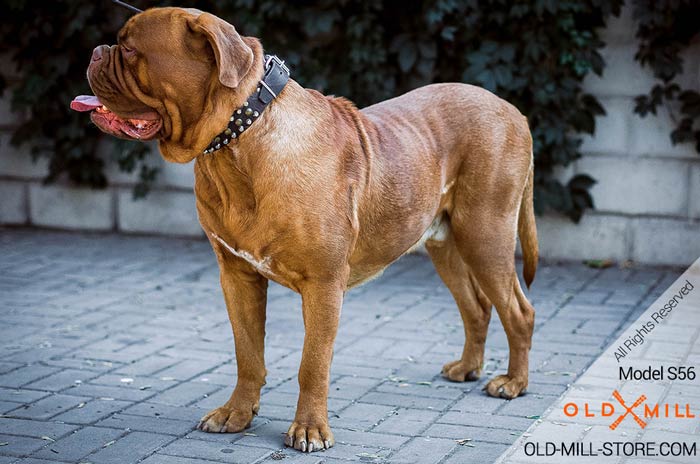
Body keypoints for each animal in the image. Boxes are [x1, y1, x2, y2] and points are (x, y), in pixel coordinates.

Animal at [72, 5, 536, 452]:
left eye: (130, 49)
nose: (95, 51)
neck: (236, 143)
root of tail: (513, 110)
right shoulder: (237, 276)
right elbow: (247, 353)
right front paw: (235, 414)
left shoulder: (324, 284)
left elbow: (312, 364)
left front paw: (310, 430)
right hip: (445, 243)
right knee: (476, 307)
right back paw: (467, 368)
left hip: (485, 233)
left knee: (519, 311)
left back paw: (513, 383)